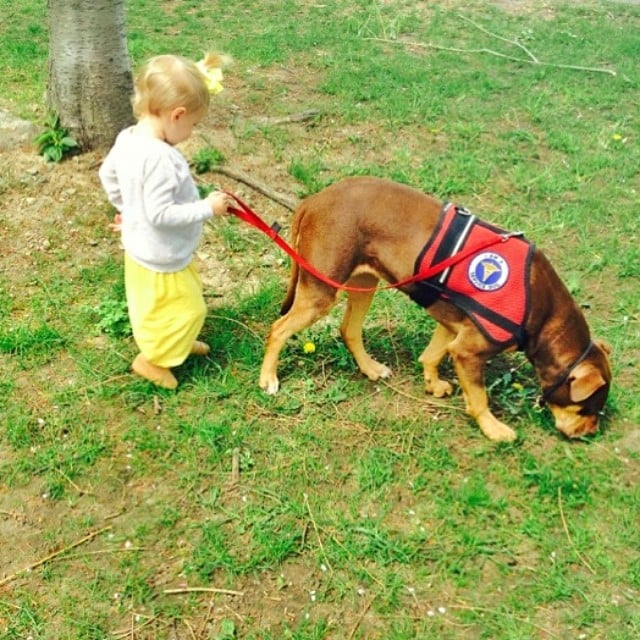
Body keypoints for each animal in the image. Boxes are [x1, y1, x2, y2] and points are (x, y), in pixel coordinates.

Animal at [258, 178, 612, 442]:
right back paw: (268, 378)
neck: (541, 311)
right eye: (588, 409)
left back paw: (370, 368)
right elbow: (479, 398)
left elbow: (432, 355)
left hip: (364, 283)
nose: (590, 433)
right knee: (278, 329)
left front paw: (433, 384)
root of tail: (314, 200)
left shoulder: (454, 328)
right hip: (321, 291)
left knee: (349, 330)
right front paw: (493, 429)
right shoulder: (469, 351)